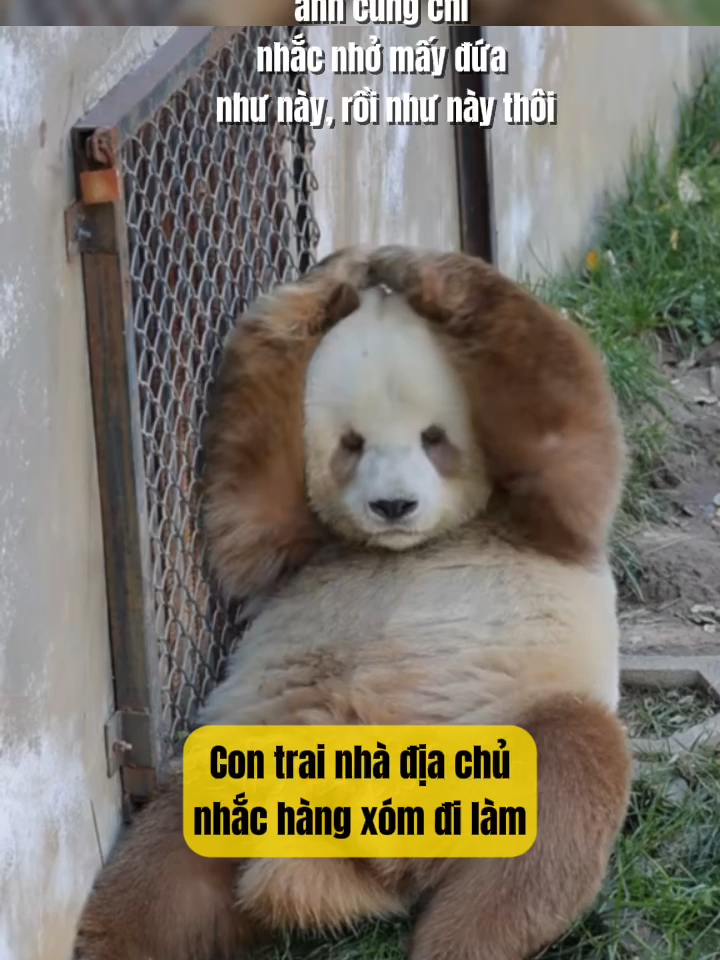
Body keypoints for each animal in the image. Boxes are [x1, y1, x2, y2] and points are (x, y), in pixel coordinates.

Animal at [73, 246, 632, 960]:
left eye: (434, 438)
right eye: (352, 443)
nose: (393, 505)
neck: (403, 546)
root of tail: (349, 869)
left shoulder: (544, 521)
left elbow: (567, 423)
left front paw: (414, 269)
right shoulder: (301, 547)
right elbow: (248, 500)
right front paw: (328, 284)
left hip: (485, 754)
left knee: (551, 799)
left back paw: (453, 946)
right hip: (239, 764)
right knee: (165, 872)